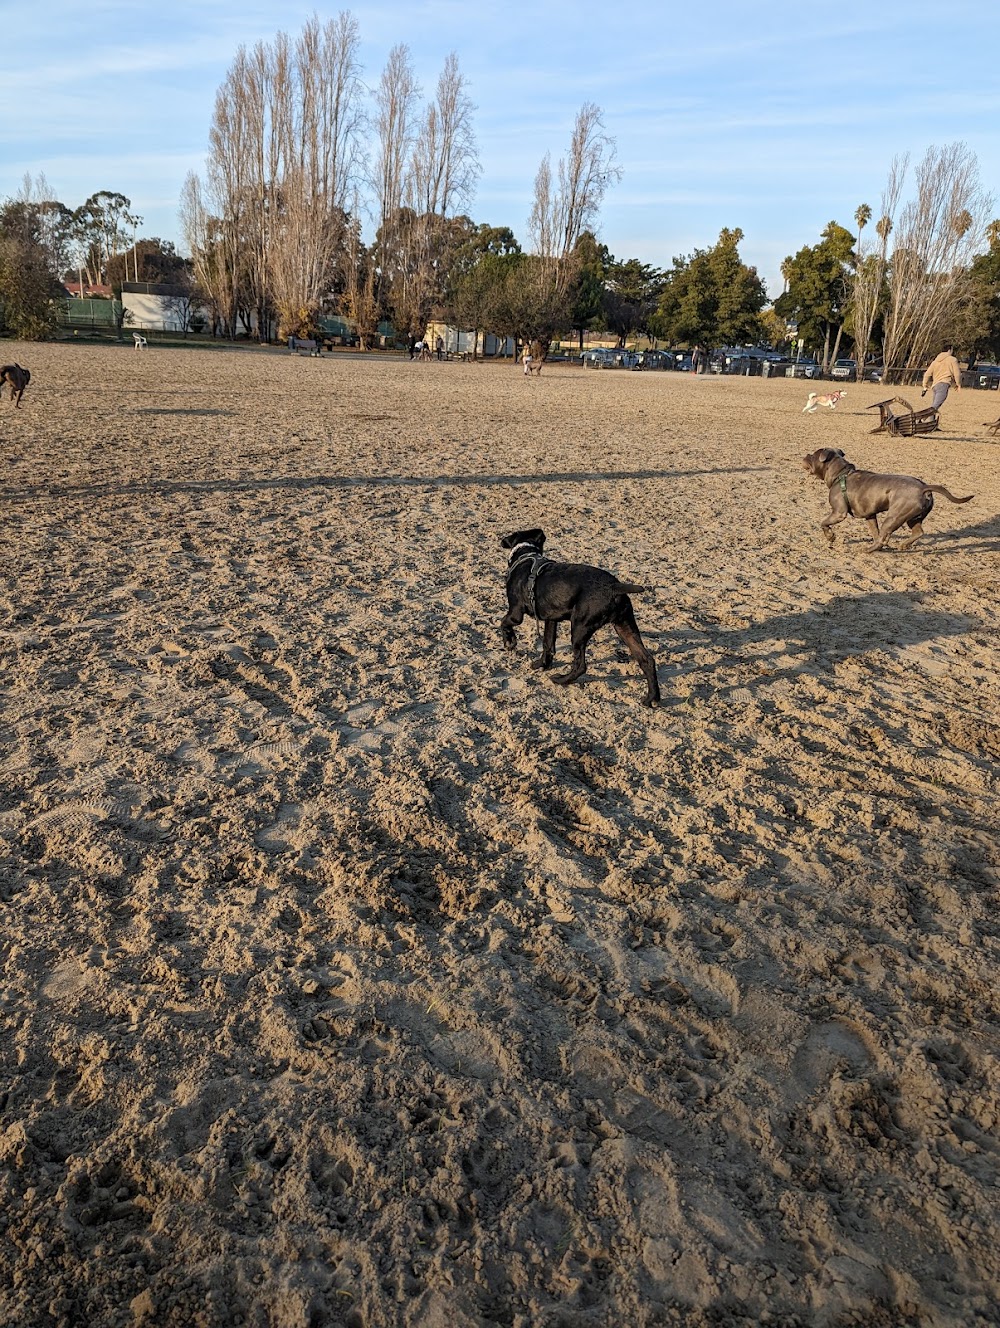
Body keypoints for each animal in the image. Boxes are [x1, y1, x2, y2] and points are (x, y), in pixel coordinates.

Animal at [496, 531, 658, 711]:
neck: (526, 554)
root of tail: (614, 587)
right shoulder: (551, 619)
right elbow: (547, 644)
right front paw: (541, 664)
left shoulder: (516, 613)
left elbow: (503, 622)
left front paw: (510, 642)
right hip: (625, 627)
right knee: (647, 660)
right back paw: (652, 698)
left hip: (580, 628)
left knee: (580, 666)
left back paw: (561, 680)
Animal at [802, 446, 972, 549]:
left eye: (813, 455)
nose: (805, 455)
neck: (840, 474)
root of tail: (924, 487)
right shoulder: (870, 515)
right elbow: (875, 532)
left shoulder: (838, 513)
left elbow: (823, 522)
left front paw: (830, 536)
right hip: (913, 518)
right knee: (917, 532)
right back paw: (902, 545)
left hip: (894, 516)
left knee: (885, 536)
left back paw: (867, 550)